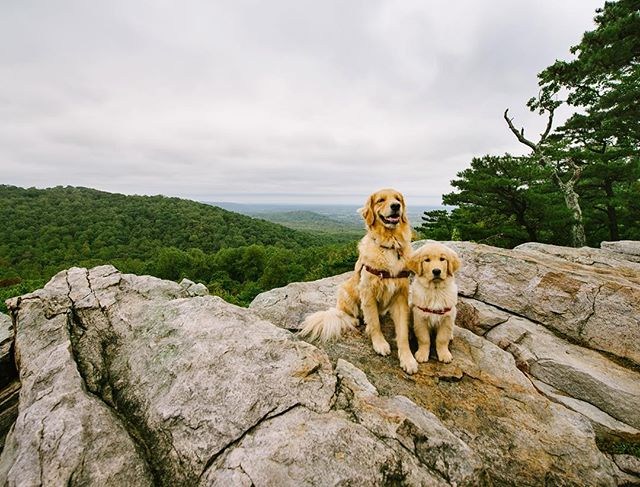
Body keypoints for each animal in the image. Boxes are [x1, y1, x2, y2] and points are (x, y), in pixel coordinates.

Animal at [302, 189, 420, 376]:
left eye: (398, 199)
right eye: (381, 200)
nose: (396, 206)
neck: (390, 244)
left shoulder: (401, 296)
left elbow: (402, 332)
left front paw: (407, 359)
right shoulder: (367, 292)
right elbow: (374, 323)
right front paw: (379, 343)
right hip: (345, 291)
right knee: (346, 313)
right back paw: (355, 320)